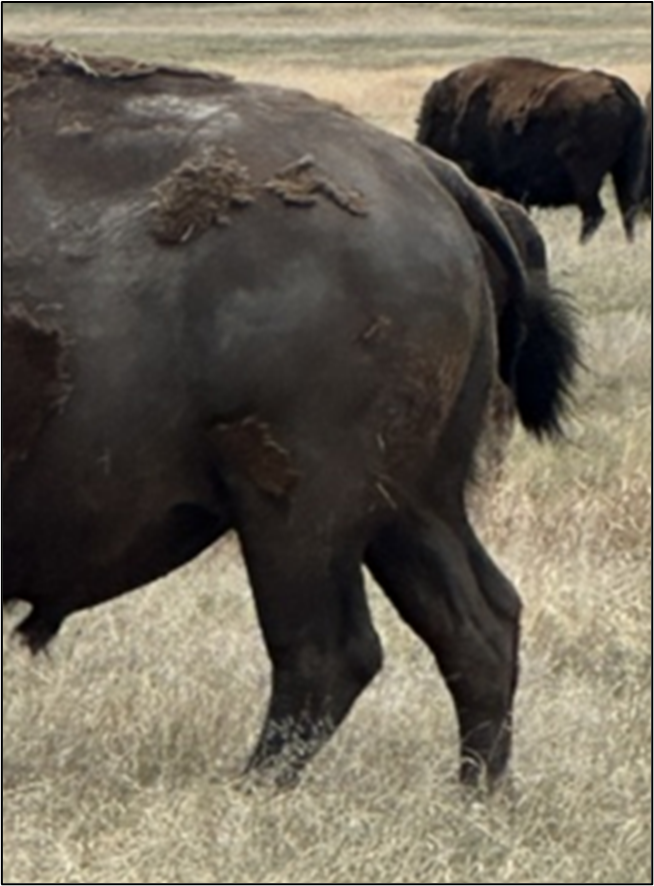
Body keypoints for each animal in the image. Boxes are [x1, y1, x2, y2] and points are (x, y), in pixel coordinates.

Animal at [3, 41, 579, 788]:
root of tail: (428, 172)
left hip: (299, 508)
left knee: (329, 648)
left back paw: (250, 789)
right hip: (413, 503)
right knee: (479, 623)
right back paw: (479, 794)